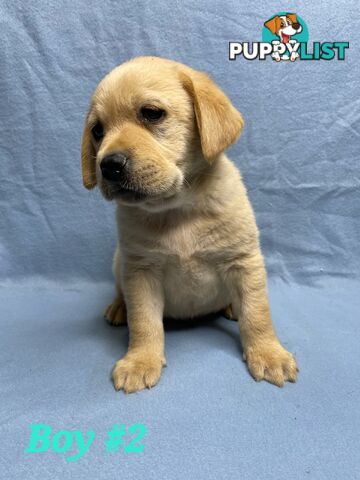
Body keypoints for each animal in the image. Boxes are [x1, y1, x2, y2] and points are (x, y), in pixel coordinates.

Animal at [81, 57, 298, 394]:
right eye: (97, 130)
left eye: (151, 113)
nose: (108, 165)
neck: (177, 208)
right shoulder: (140, 271)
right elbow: (144, 322)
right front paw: (140, 361)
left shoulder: (244, 261)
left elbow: (257, 313)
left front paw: (268, 353)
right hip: (120, 263)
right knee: (121, 293)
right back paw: (119, 308)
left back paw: (231, 307)